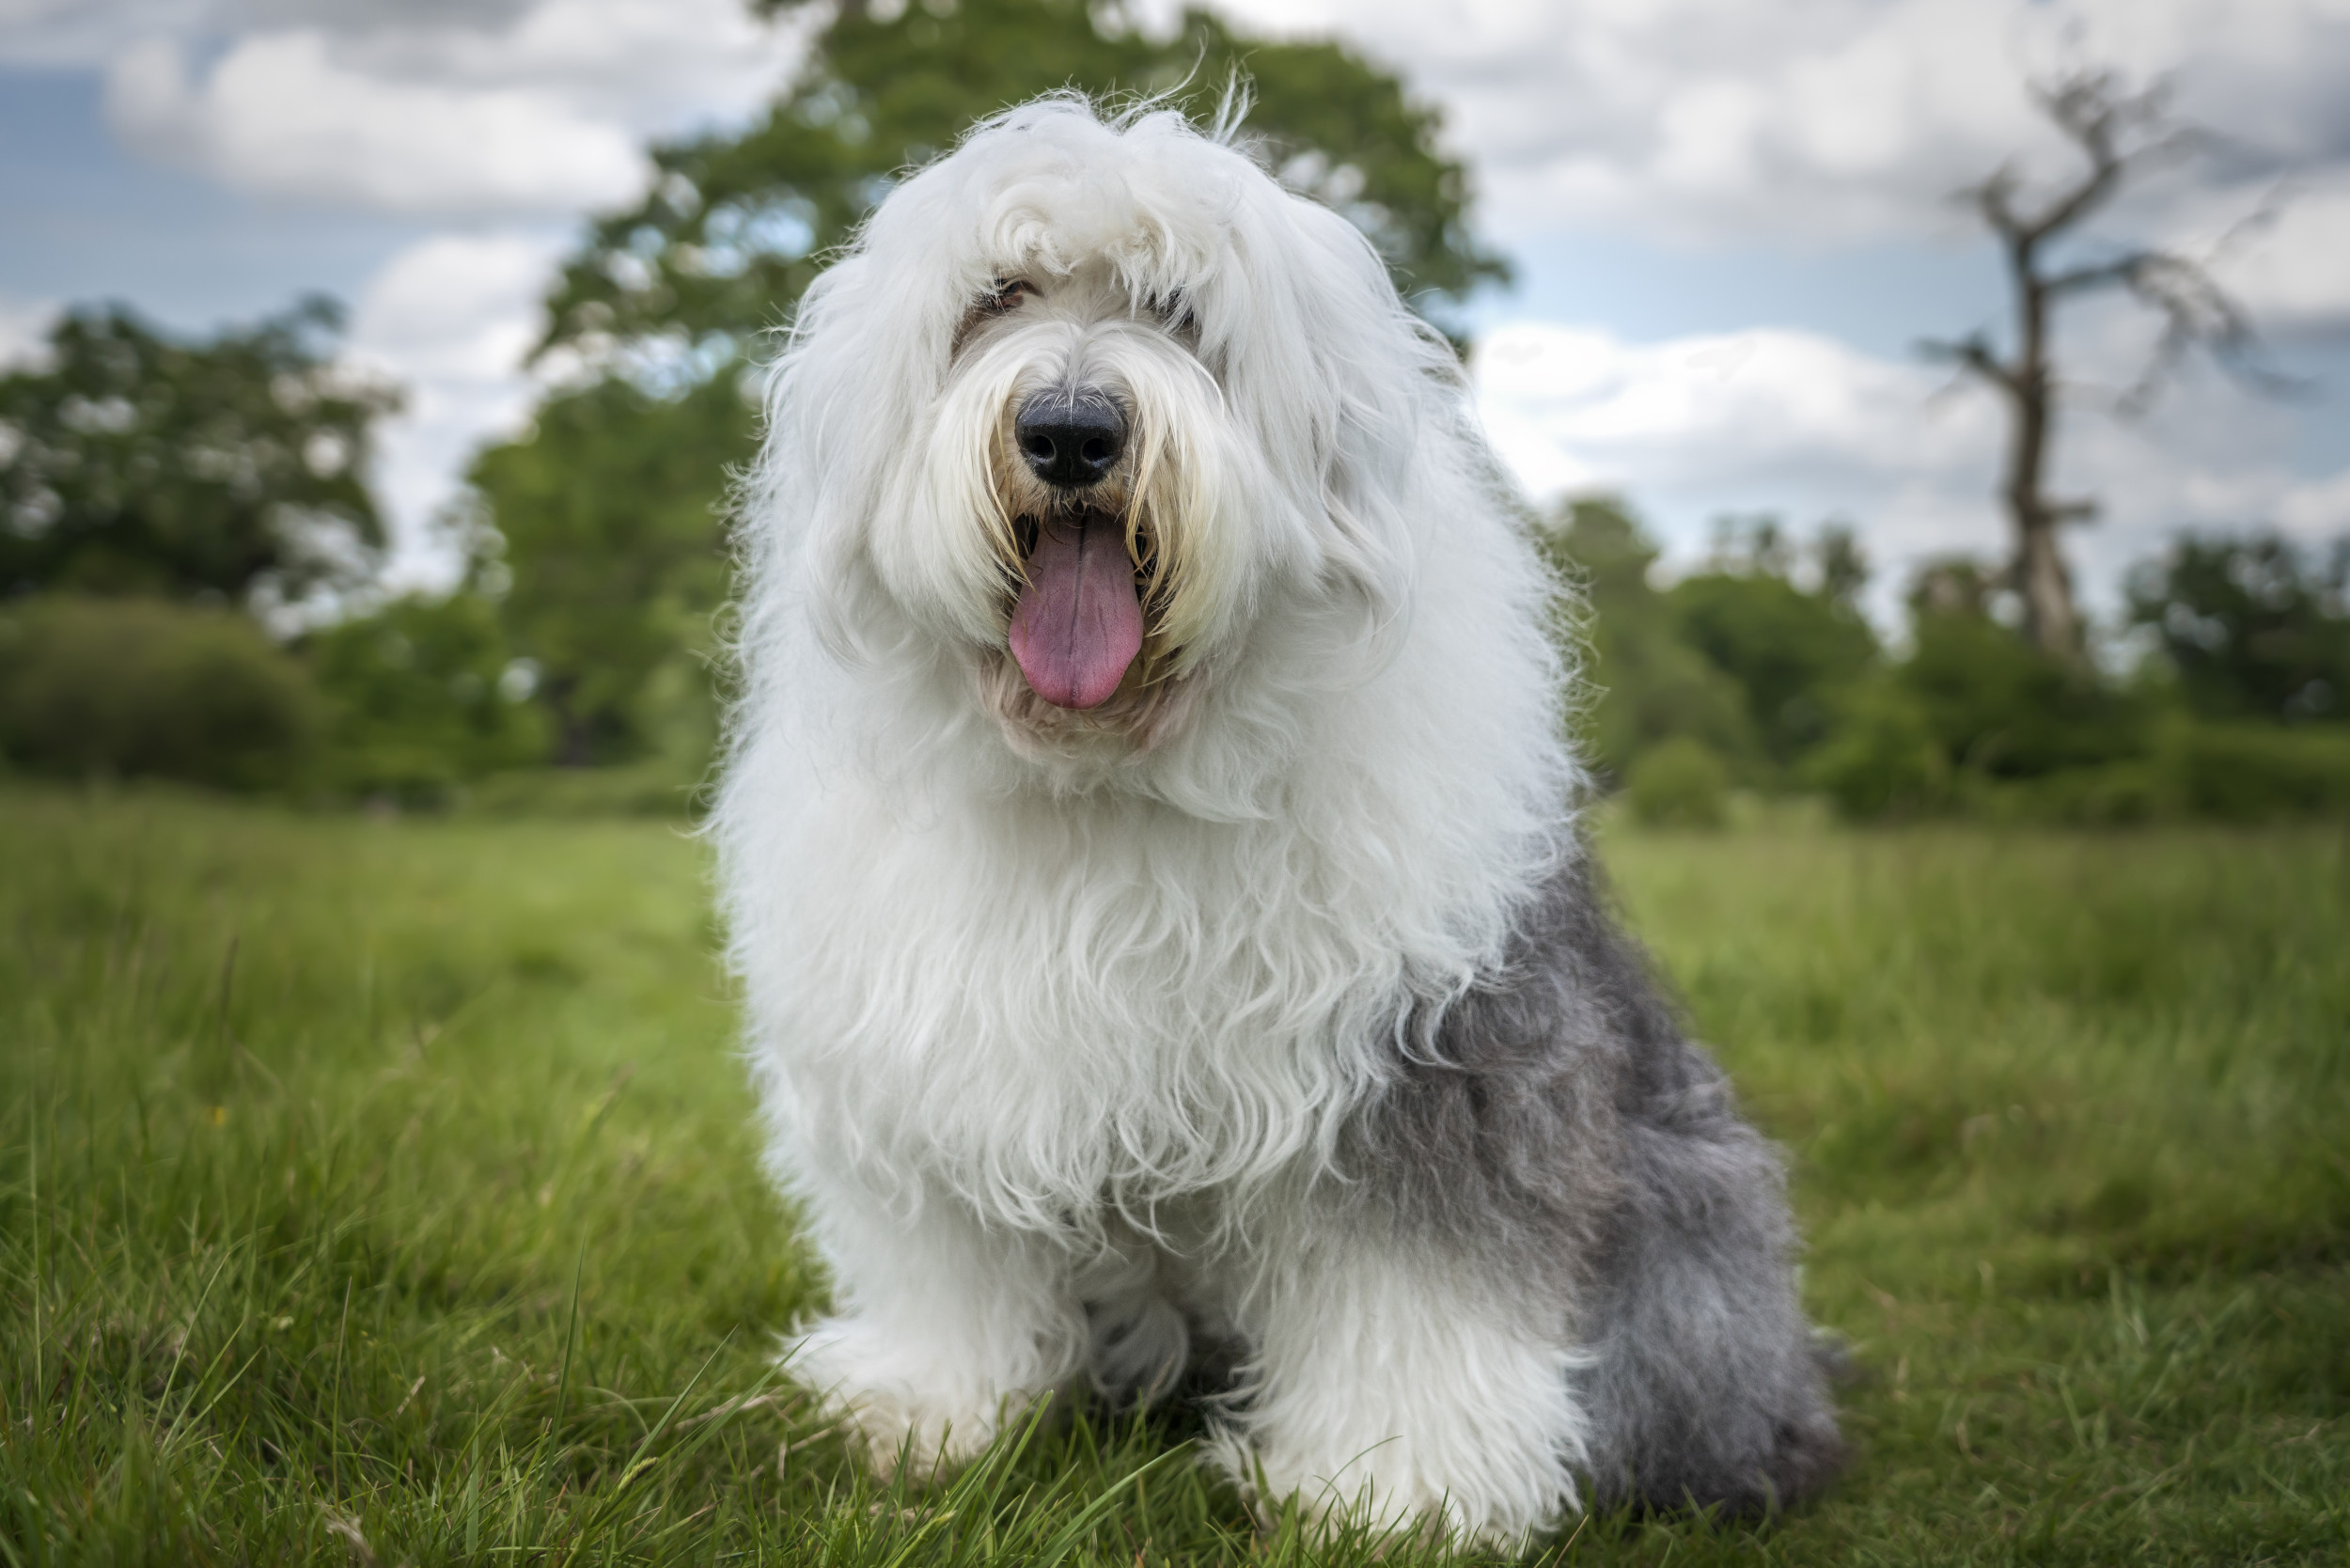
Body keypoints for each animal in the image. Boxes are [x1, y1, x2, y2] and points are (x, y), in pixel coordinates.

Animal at [705, 95, 1842, 1542]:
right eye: (998, 297)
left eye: (1178, 308)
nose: (1069, 430)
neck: (1108, 778)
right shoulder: (935, 1058)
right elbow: (945, 1259)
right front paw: (927, 1411)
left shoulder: (1418, 1064)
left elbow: (1415, 1288)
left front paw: (1390, 1491)